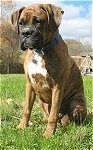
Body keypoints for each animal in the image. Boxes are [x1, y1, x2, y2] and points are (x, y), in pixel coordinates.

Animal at [11, 3, 87, 138]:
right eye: (21, 23)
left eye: (38, 21)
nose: (26, 33)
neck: (40, 52)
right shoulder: (30, 85)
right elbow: (26, 109)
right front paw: (22, 126)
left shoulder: (57, 86)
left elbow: (53, 113)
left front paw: (48, 134)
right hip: (41, 100)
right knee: (48, 115)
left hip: (76, 102)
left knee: (69, 119)